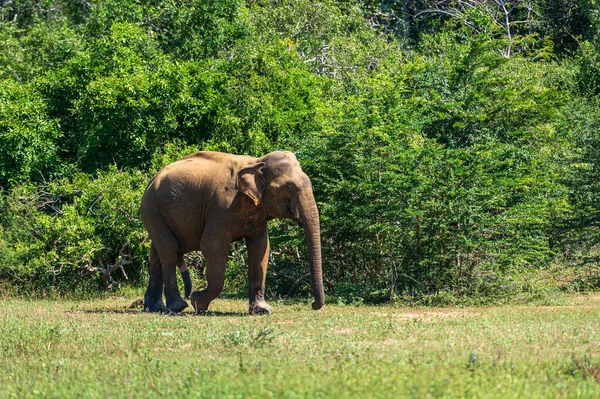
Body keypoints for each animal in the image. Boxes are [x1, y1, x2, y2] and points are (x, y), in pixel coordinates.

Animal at [140, 150, 326, 316]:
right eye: (289, 187)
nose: (313, 305)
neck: (257, 162)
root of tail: (152, 180)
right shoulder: (222, 207)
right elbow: (212, 246)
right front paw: (198, 303)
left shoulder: (257, 211)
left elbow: (261, 249)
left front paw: (263, 310)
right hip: (153, 209)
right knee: (169, 252)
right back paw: (178, 307)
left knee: (157, 255)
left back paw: (156, 308)